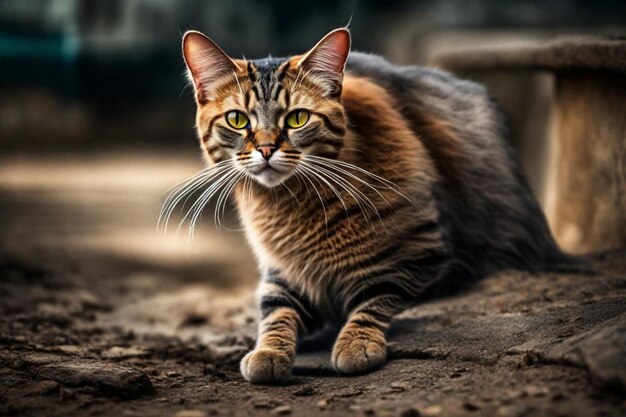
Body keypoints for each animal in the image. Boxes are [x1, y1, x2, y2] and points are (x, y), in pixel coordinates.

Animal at [172, 27, 564, 382]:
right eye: (237, 120)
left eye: (297, 118)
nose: (267, 149)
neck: (290, 205)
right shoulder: (284, 274)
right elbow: (276, 314)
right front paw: (268, 352)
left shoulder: (425, 257)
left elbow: (375, 297)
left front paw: (356, 344)